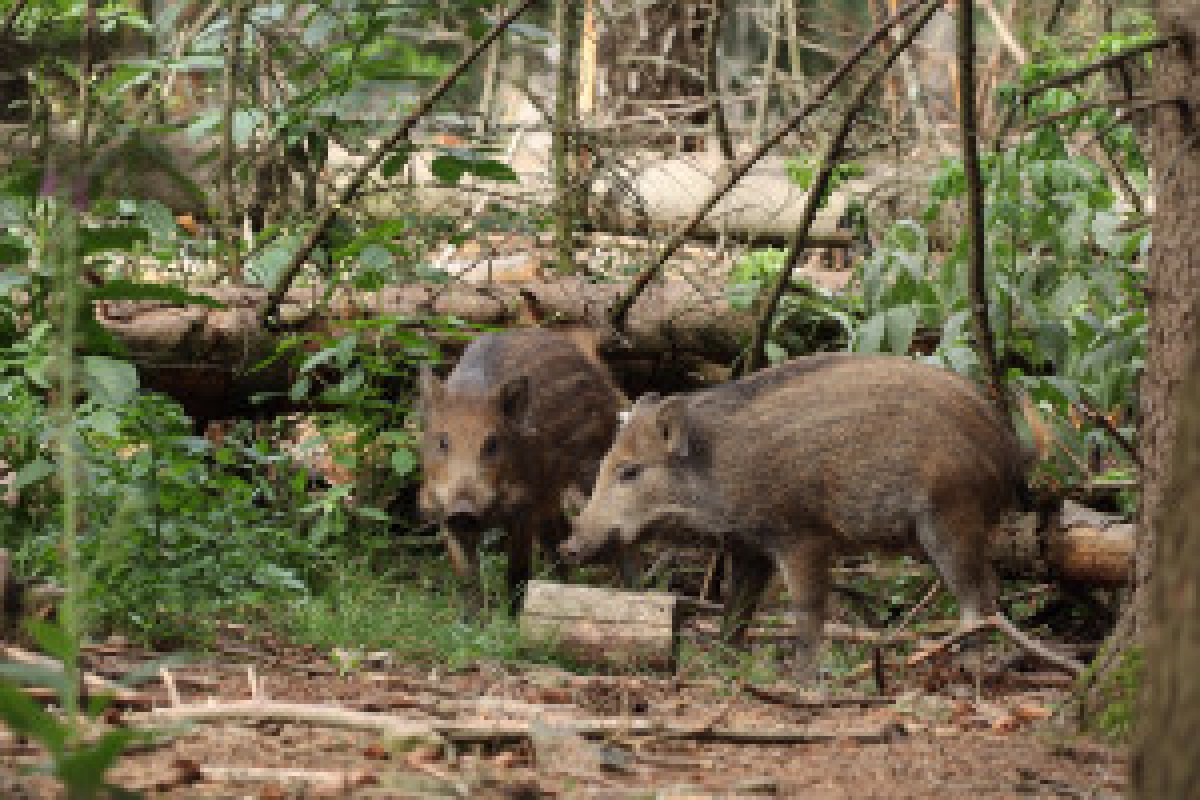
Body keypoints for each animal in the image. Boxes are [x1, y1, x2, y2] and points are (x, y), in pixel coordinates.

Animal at [419, 327, 631, 617]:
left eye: (492, 443)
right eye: (442, 441)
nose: (464, 508)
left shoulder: (523, 508)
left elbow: (517, 571)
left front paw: (511, 620)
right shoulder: (444, 513)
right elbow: (467, 576)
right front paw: (472, 620)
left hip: (592, 468)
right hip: (549, 497)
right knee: (559, 537)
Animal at [561, 353, 1031, 679]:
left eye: (630, 471)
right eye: (604, 465)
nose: (568, 547)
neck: (716, 471)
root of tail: (1010, 448)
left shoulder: (802, 536)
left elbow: (805, 610)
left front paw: (801, 679)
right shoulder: (748, 547)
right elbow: (736, 608)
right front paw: (724, 663)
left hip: (951, 516)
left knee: (978, 597)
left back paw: (958, 664)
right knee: (989, 589)